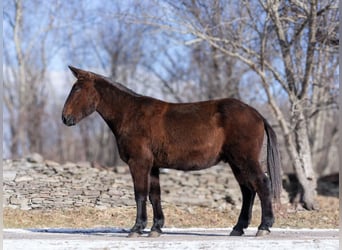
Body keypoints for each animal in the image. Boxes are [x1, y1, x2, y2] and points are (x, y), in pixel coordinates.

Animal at [62, 65, 282, 237]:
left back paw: (264, 226)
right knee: (248, 191)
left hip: (245, 160)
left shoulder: (138, 163)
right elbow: (155, 195)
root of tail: (256, 113)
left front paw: (137, 228)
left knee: (262, 184)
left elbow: (140, 194)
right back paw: (238, 228)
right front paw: (156, 228)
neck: (131, 114)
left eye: (77, 89)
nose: (65, 118)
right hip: (237, 163)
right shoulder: (152, 166)